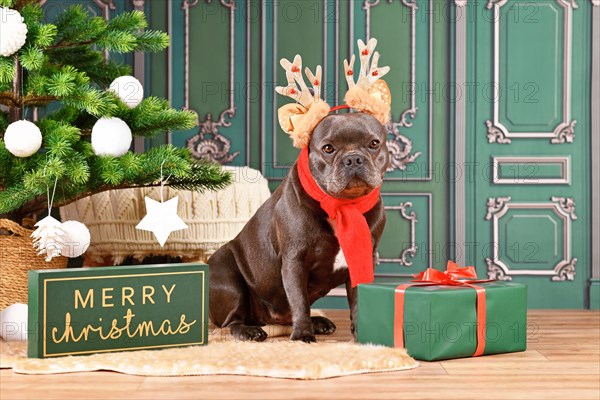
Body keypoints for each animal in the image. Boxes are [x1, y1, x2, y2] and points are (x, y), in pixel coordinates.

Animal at [207, 111, 390, 342]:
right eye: (328, 148)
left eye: (374, 144)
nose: (353, 159)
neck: (343, 205)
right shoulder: (295, 260)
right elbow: (299, 299)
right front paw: (303, 335)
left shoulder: (361, 260)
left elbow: (357, 299)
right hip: (227, 277)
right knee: (231, 321)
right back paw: (249, 331)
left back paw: (317, 322)